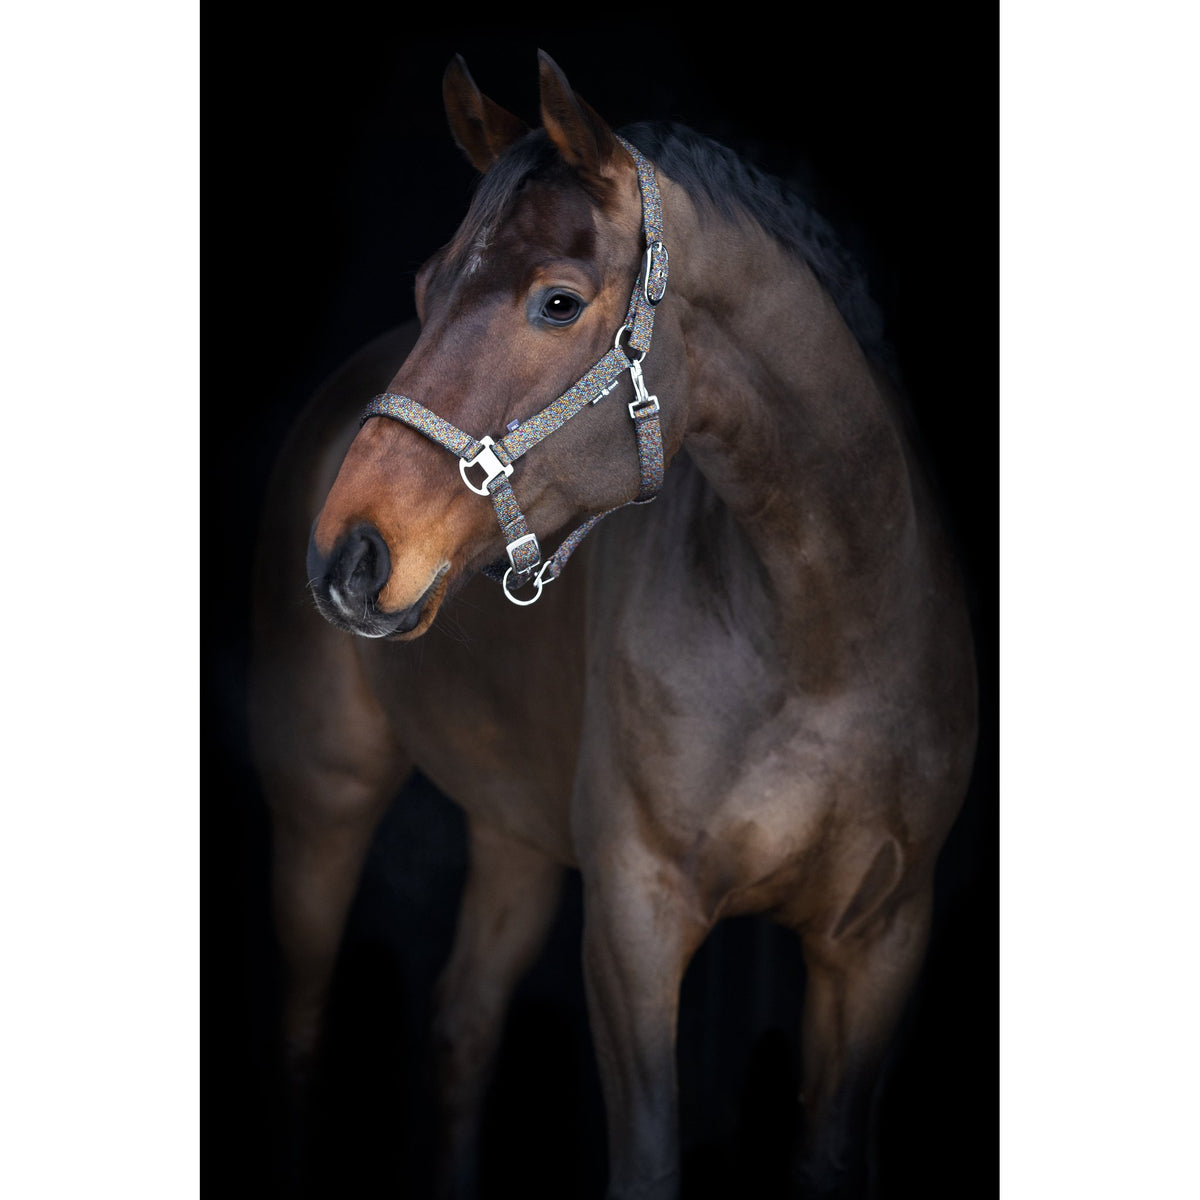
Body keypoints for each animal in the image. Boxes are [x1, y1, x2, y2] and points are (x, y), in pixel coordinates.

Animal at [248, 51, 978, 1200]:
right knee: (302, 1037)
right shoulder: (636, 922)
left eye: (557, 302)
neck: (826, 638)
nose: (347, 556)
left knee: (459, 1032)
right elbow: (646, 1163)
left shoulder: (881, 942)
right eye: (423, 288)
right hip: (323, 803)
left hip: (513, 834)